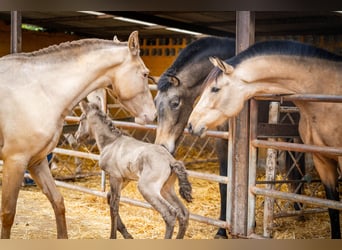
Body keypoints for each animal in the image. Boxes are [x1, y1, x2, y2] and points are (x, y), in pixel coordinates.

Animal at [0, 30, 156, 238]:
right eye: (145, 73)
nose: (153, 114)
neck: (40, 91)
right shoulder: (15, 161)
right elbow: (8, 214)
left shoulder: (36, 161)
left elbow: (58, 202)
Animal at [75, 100, 192, 239]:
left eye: (81, 120)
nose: (76, 136)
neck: (111, 142)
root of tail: (171, 161)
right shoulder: (125, 178)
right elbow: (109, 197)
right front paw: (126, 233)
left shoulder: (115, 176)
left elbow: (114, 206)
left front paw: (113, 236)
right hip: (166, 189)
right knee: (183, 213)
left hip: (147, 188)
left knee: (170, 214)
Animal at [154, 35, 236, 238]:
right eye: (155, 102)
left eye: (175, 103)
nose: (162, 146)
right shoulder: (221, 142)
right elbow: (224, 185)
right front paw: (221, 231)